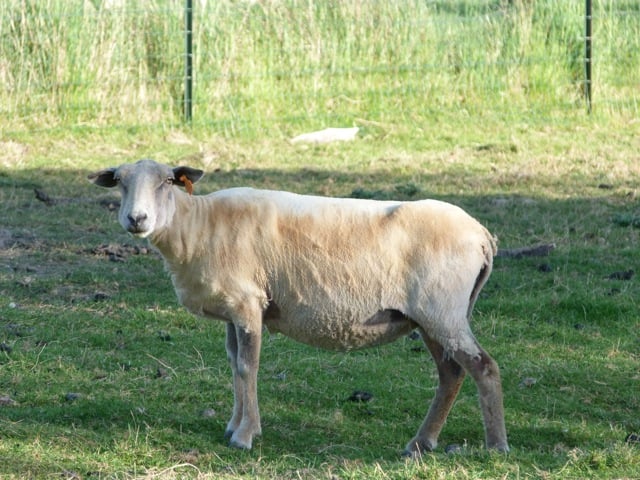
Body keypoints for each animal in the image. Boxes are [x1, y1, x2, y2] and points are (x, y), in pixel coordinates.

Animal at [88, 158, 509, 456]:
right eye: (121, 182)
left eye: (165, 182)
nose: (137, 219)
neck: (197, 228)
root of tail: (482, 235)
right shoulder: (233, 311)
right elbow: (234, 365)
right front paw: (234, 424)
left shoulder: (248, 302)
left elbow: (248, 366)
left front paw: (244, 435)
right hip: (431, 318)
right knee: (451, 373)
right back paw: (420, 444)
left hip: (442, 311)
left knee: (484, 367)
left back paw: (496, 446)